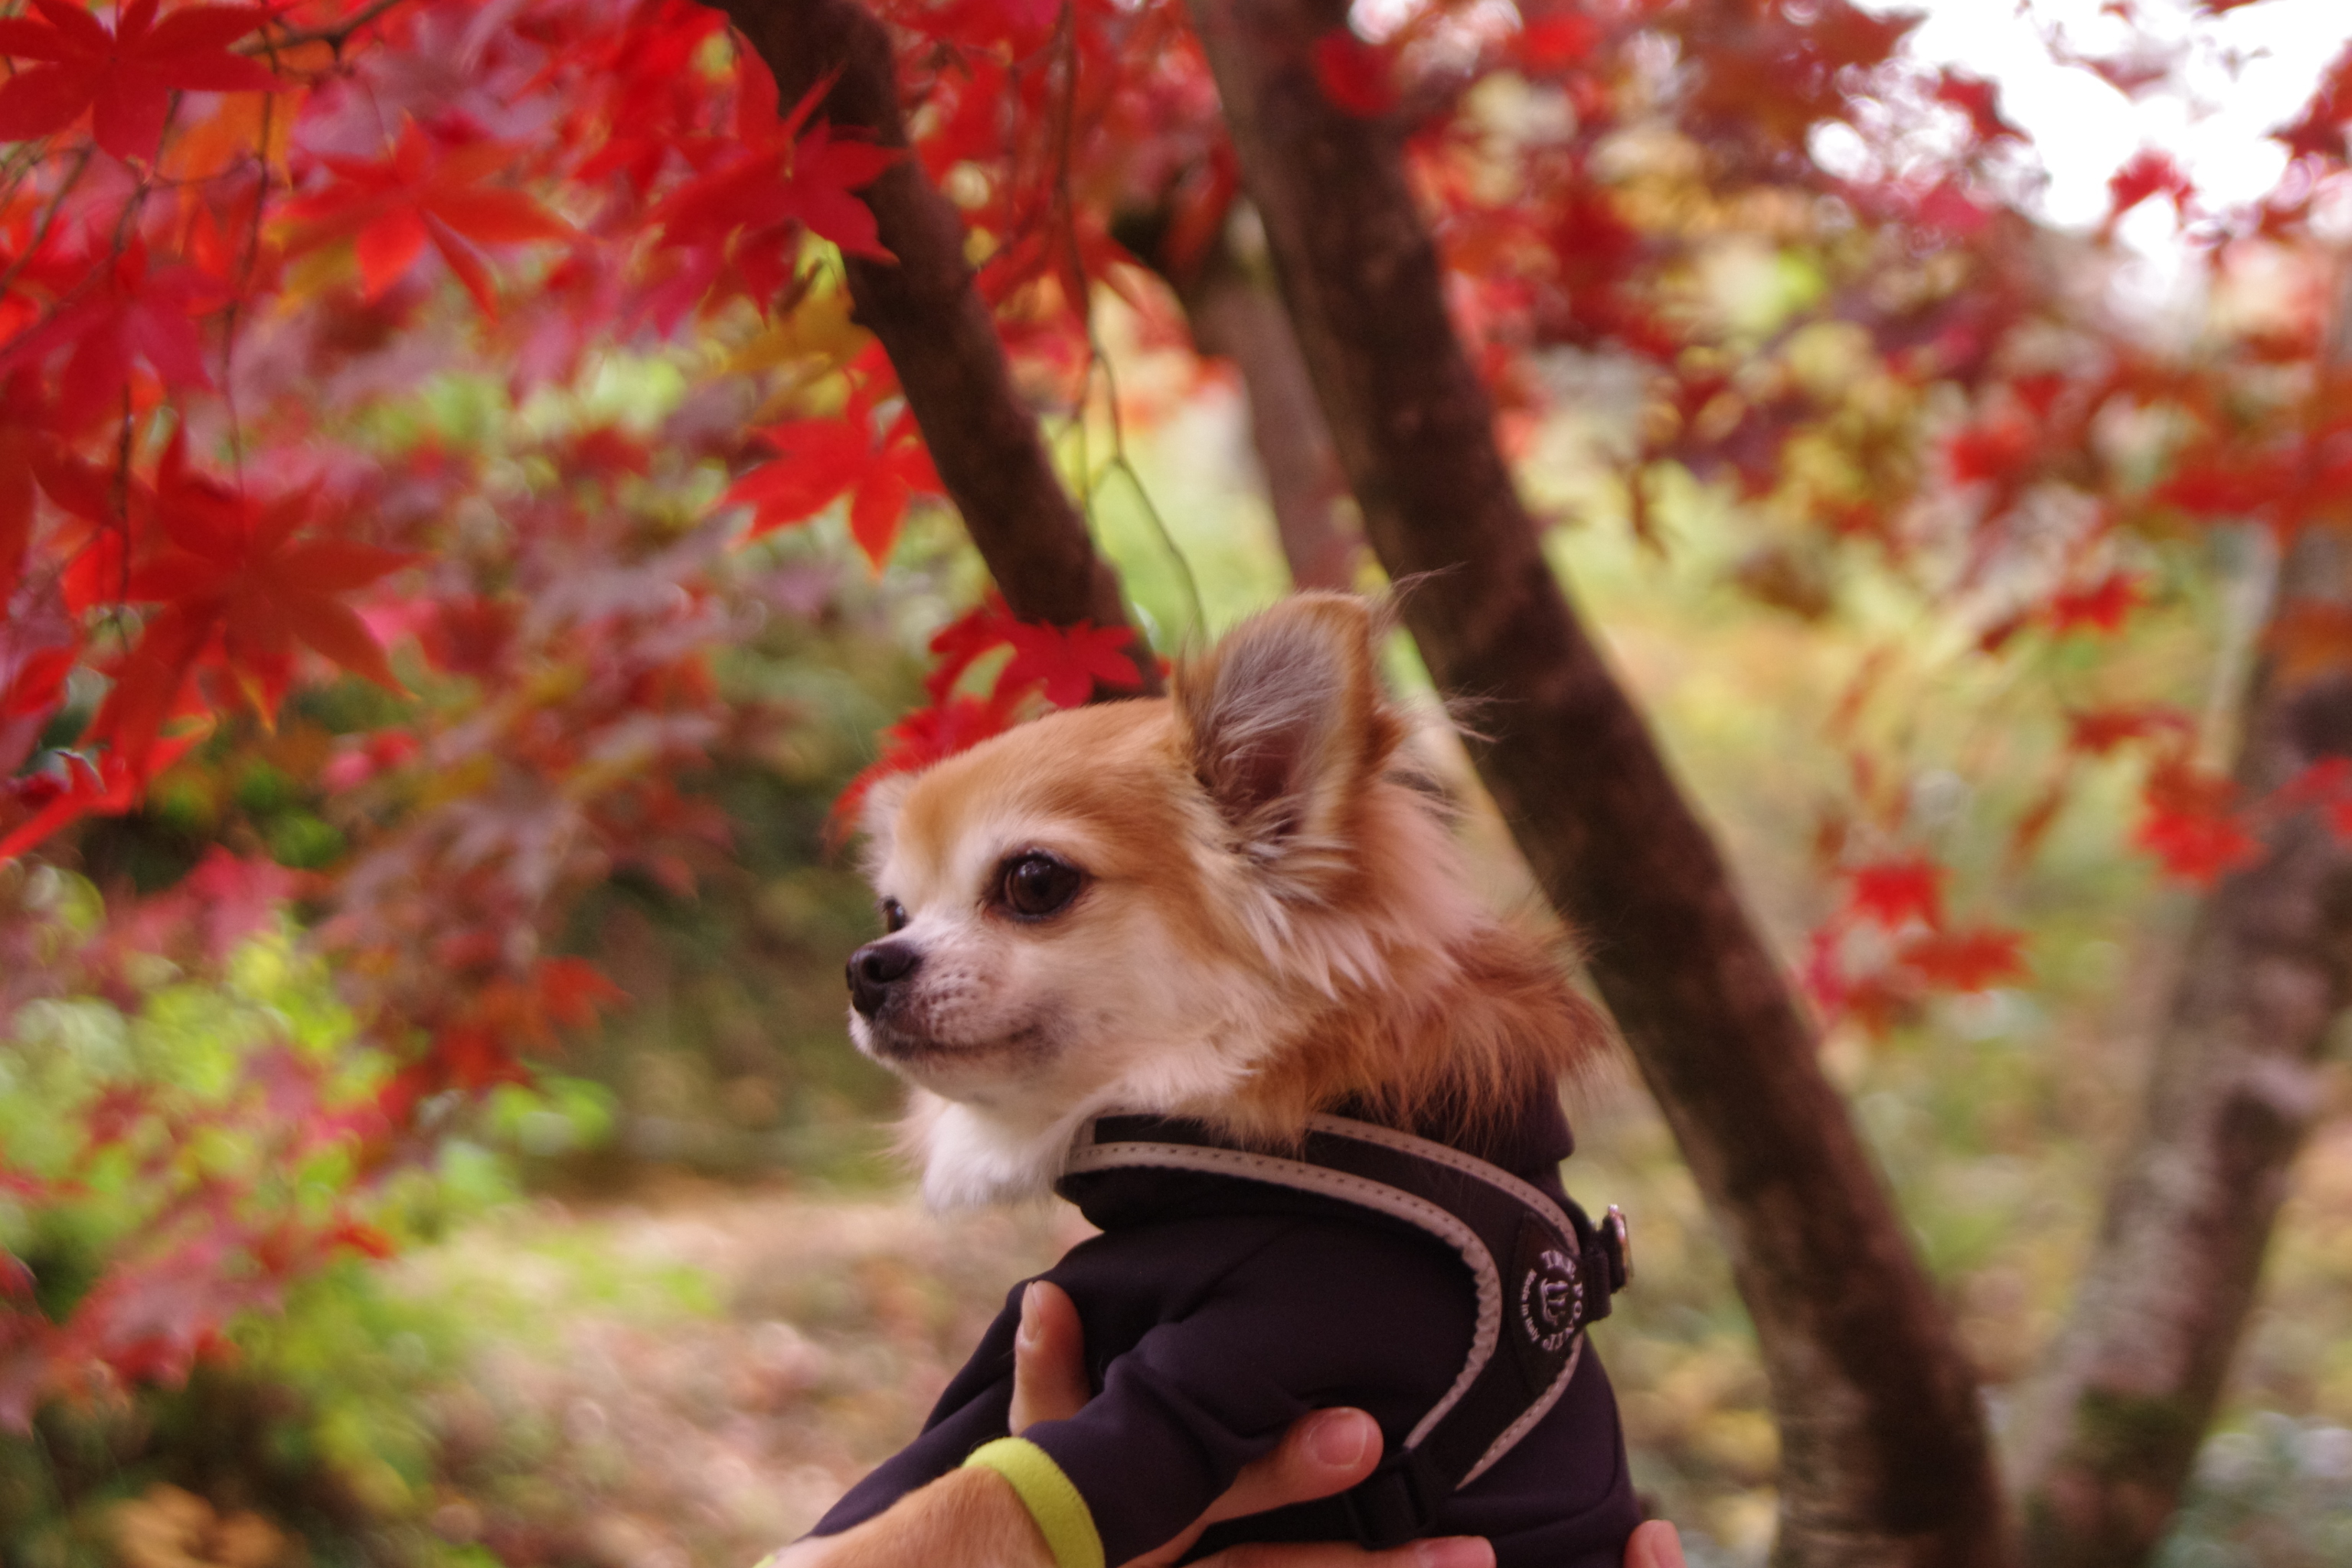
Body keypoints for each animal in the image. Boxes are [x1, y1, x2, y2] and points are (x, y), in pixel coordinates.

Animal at [805, 594, 1640, 1568]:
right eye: (894, 911)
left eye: (1034, 881)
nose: (867, 964)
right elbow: (914, 1473)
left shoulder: (1247, 1354)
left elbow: (975, 1501)